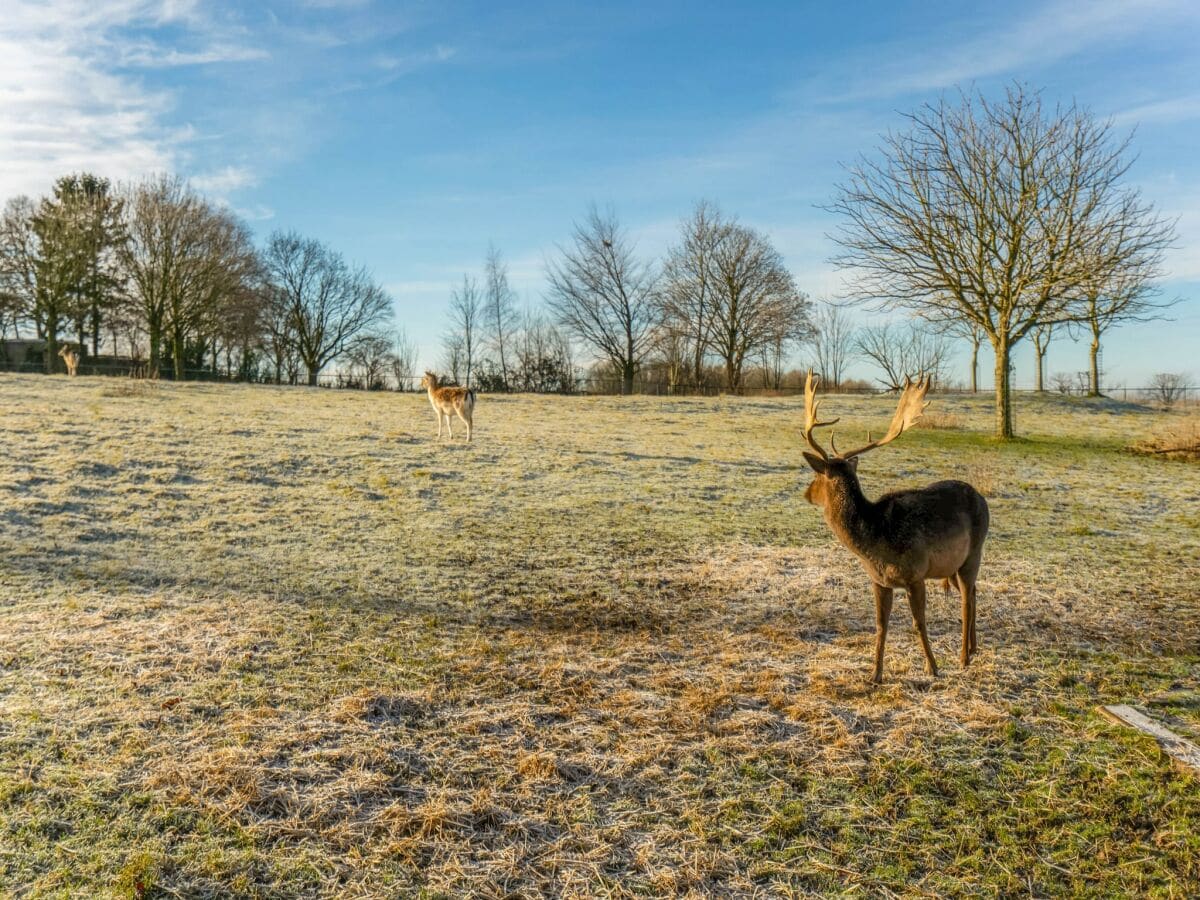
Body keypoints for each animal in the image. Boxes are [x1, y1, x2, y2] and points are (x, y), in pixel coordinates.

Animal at [801, 372, 988, 681]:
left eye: (816, 476)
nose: (806, 494)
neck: (875, 542)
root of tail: (984, 500)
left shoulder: (916, 574)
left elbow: (919, 622)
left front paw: (932, 667)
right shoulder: (878, 580)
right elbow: (880, 625)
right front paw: (875, 674)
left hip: (975, 552)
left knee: (966, 599)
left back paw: (963, 657)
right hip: (956, 564)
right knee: (974, 592)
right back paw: (973, 649)